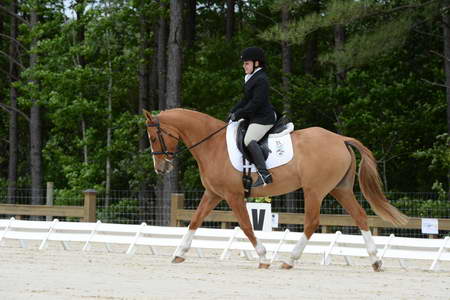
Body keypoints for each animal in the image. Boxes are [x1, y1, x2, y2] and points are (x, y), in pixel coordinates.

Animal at [144, 109, 408, 270]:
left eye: (154, 137)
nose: (161, 168)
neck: (212, 144)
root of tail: (340, 138)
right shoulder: (213, 194)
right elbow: (195, 221)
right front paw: (179, 253)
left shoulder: (233, 195)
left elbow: (246, 225)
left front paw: (263, 257)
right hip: (339, 189)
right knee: (360, 216)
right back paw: (376, 261)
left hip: (314, 190)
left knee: (312, 222)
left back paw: (290, 259)